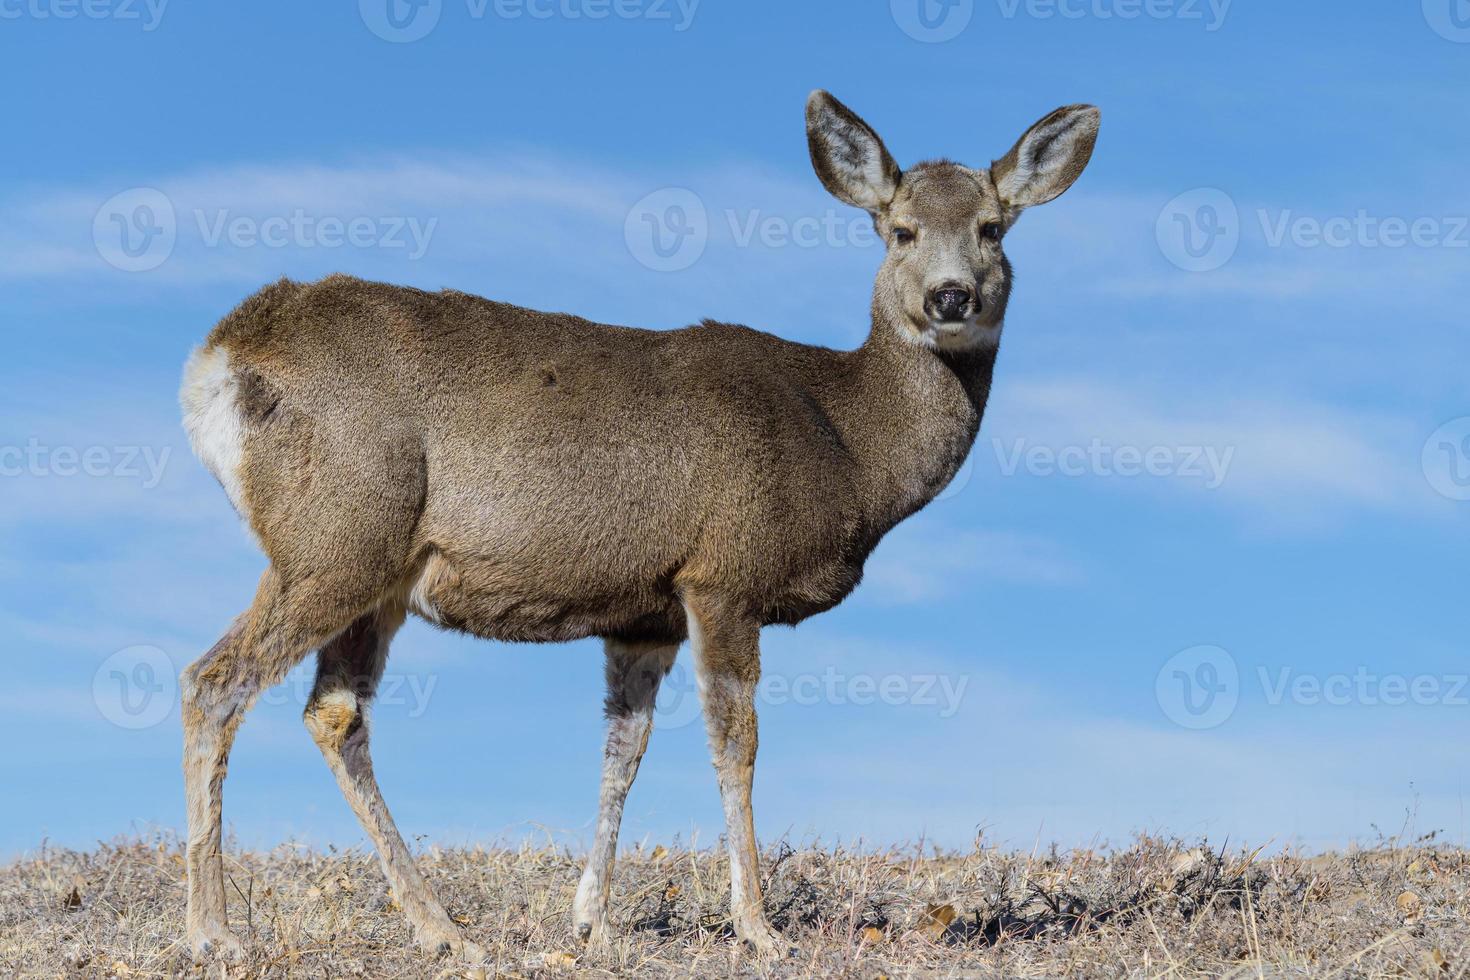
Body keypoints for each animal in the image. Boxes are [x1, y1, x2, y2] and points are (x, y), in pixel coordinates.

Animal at [177, 88, 1099, 963]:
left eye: (991, 228)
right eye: (900, 230)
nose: (951, 295)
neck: (845, 440)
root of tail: (216, 358)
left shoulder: (643, 611)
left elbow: (624, 749)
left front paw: (593, 920)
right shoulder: (722, 572)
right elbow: (736, 744)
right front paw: (759, 928)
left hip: (375, 573)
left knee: (334, 712)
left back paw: (441, 928)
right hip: (336, 537)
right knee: (213, 681)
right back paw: (214, 930)